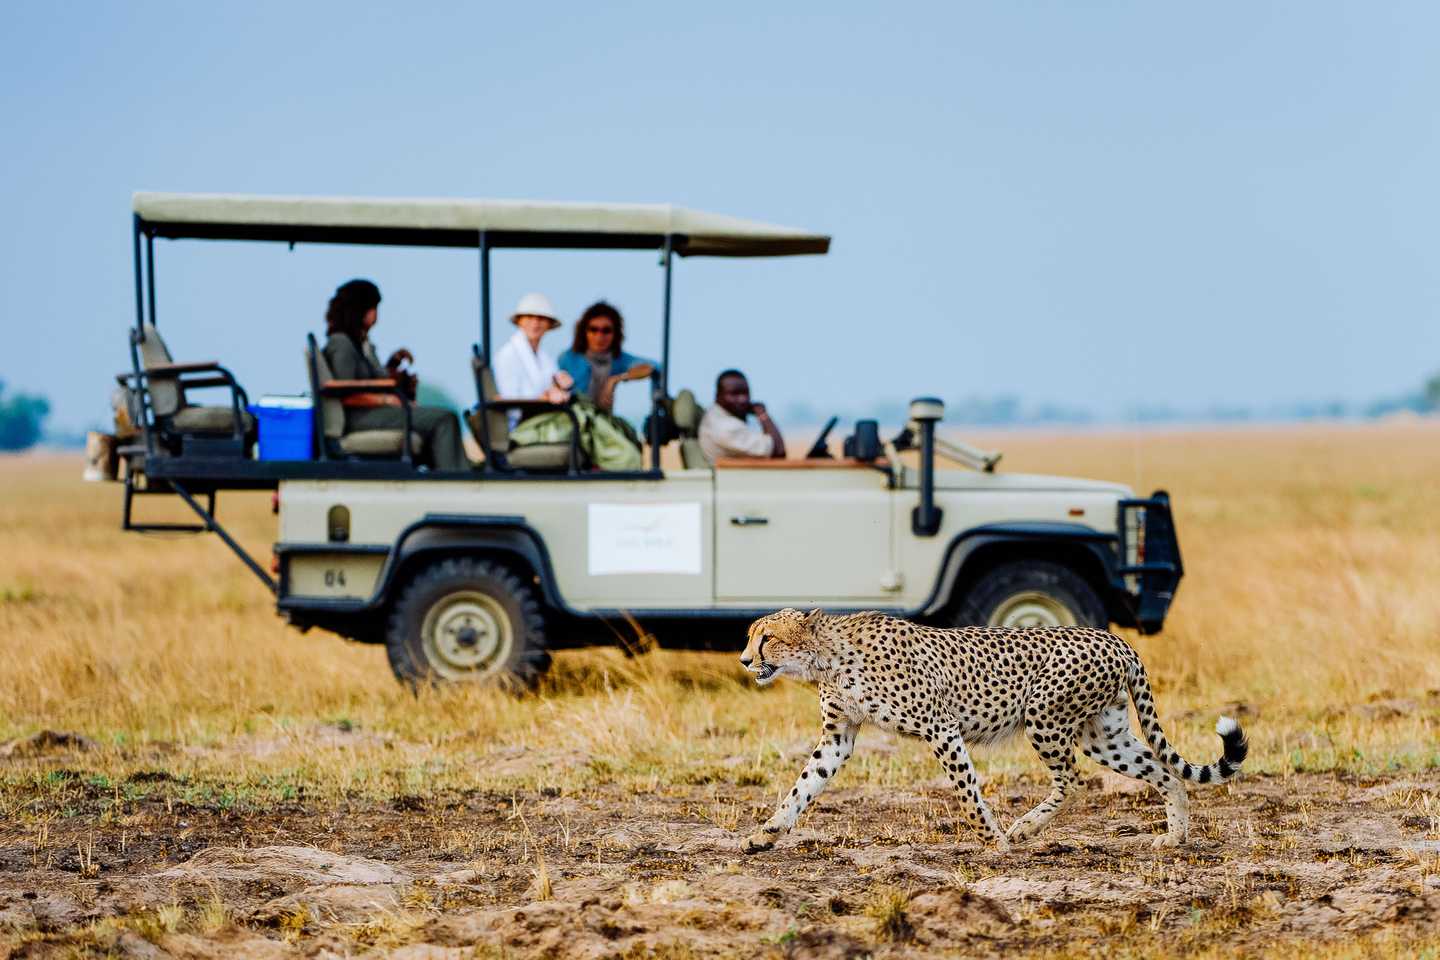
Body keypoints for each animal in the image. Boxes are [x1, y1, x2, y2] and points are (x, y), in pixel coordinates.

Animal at [738, 608, 1248, 853]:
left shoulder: (940, 727)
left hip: (1044, 715)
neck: (827, 655)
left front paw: (993, 840)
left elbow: (967, 792)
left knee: (1073, 780)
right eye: (750, 636)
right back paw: (1175, 836)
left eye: (767, 638)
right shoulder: (837, 737)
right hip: (1103, 734)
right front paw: (767, 833)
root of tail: (1115, 638)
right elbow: (803, 786)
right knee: (1164, 773)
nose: (743, 660)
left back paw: (1023, 829)